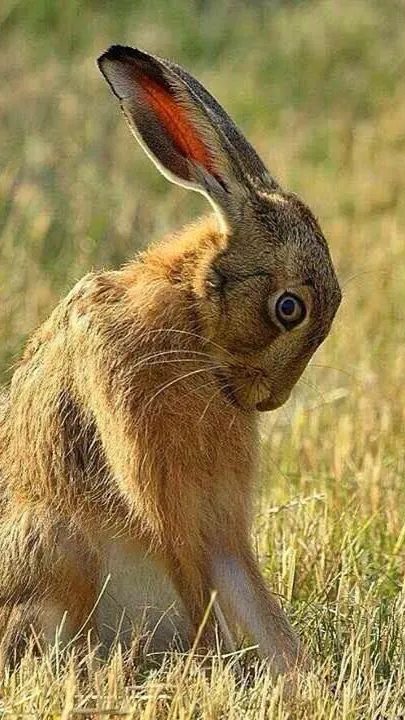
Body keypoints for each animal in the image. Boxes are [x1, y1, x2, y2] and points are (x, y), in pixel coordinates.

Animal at [0, 45, 341, 678]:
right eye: (289, 308)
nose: (271, 401)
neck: (192, 321)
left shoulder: (220, 518)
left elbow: (251, 597)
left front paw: (296, 680)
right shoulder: (160, 490)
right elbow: (194, 581)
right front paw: (219, 669)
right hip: (56, 545)